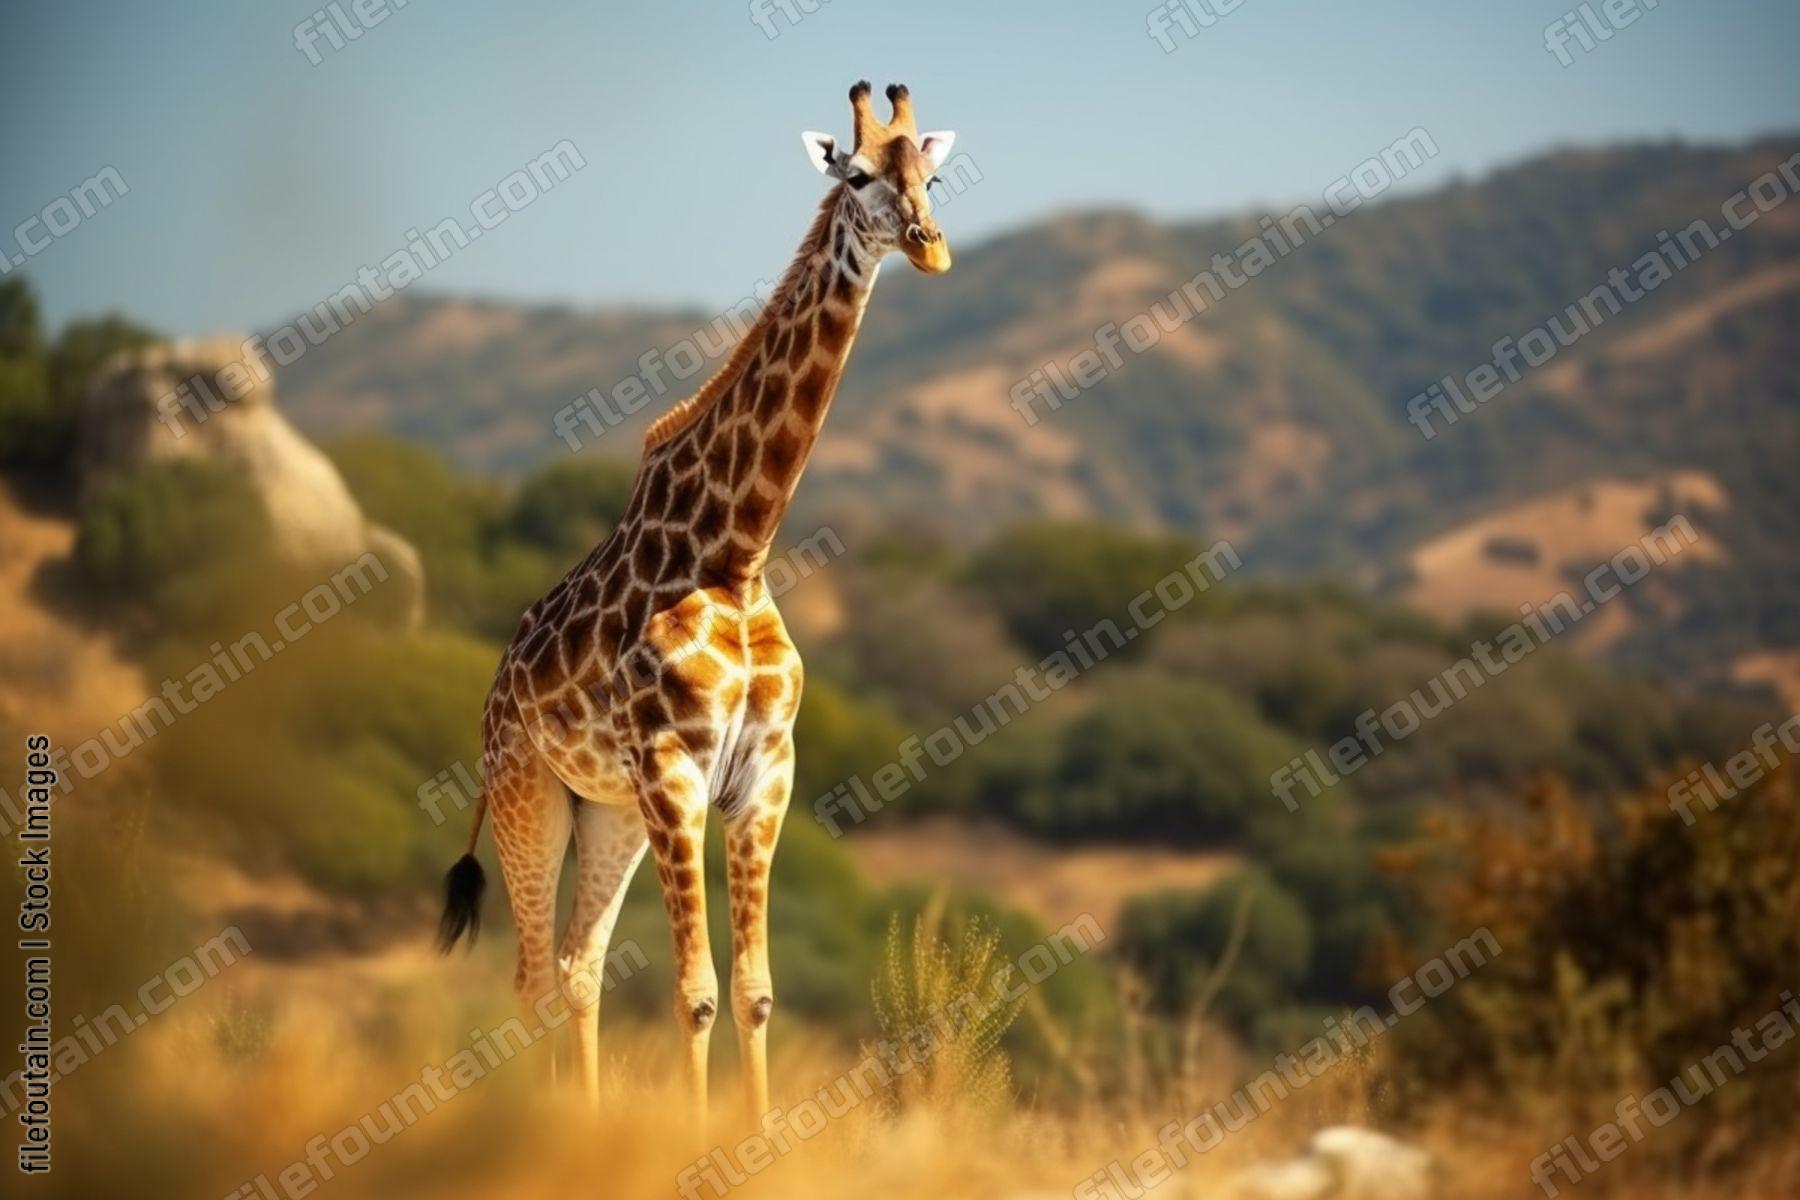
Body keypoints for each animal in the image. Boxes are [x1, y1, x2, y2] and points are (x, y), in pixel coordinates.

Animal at [437, 81, 956, 1123]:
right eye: (857, 175)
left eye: (934, 173)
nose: (928, 244)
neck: (738, 552)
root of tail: (493, 696)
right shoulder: (674, 766)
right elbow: (697, 992)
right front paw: (705, 1140)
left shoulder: (764, 772)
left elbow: (753, 992)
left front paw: (754, 1137)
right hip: (530, 794)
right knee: (528, 975)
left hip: (607, 812)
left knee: (576, 966)